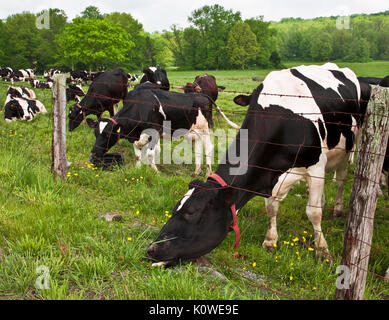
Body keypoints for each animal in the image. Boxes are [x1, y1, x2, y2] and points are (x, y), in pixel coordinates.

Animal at [89, 82, 238, 175]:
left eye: (107, 134)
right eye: (95, 134)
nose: (94, 153)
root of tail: (201, 95)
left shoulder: (155, 133)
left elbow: (149, 154)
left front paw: (156, 172)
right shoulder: (136, 137)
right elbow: (138, 155)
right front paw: (138, 170)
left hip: (205, 129)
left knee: (208, 148)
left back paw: (208, 173)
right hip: (193, 132)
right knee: (198, 148)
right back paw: (196, 172)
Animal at [146, 63, 372, 268]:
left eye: (193, 212)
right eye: (175, 207)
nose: (152, 249)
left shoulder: (315, 167)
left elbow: (313, 213)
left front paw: (322, 250)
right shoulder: (270, 175)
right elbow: (271, 208)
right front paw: (270, 240)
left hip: (350, 146)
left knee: (341, 179)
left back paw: (338, 208)